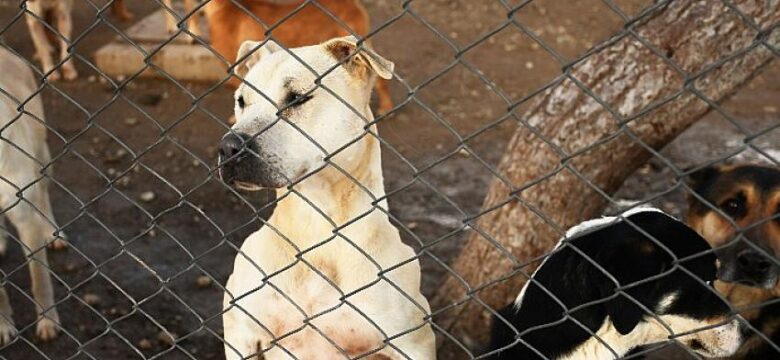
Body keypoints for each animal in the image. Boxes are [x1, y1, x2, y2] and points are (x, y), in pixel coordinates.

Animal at [219, 37, 436, 360]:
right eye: (242, 101)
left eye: (296, 98)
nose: (229, 148)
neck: (316, 227)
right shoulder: (240, 332)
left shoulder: (413, 342)